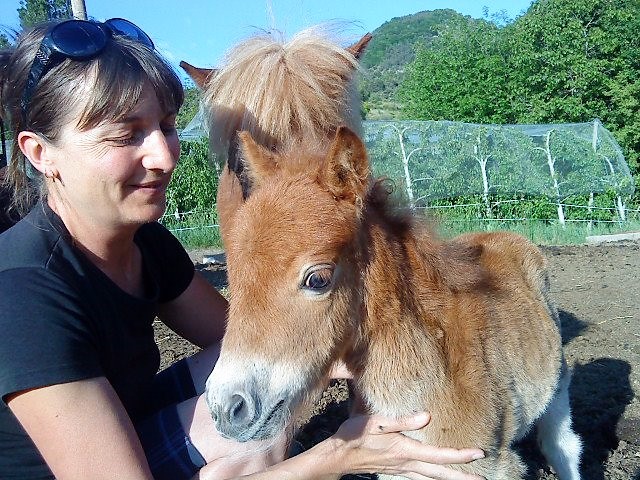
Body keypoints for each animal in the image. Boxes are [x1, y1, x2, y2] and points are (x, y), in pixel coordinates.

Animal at [205, 127, 584, 480]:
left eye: (318, 279)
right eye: (234, 278)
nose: (225, 408)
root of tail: (506, 236)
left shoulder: (493, 467)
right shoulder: (398, 463)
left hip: (558, 385)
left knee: (562, 444)